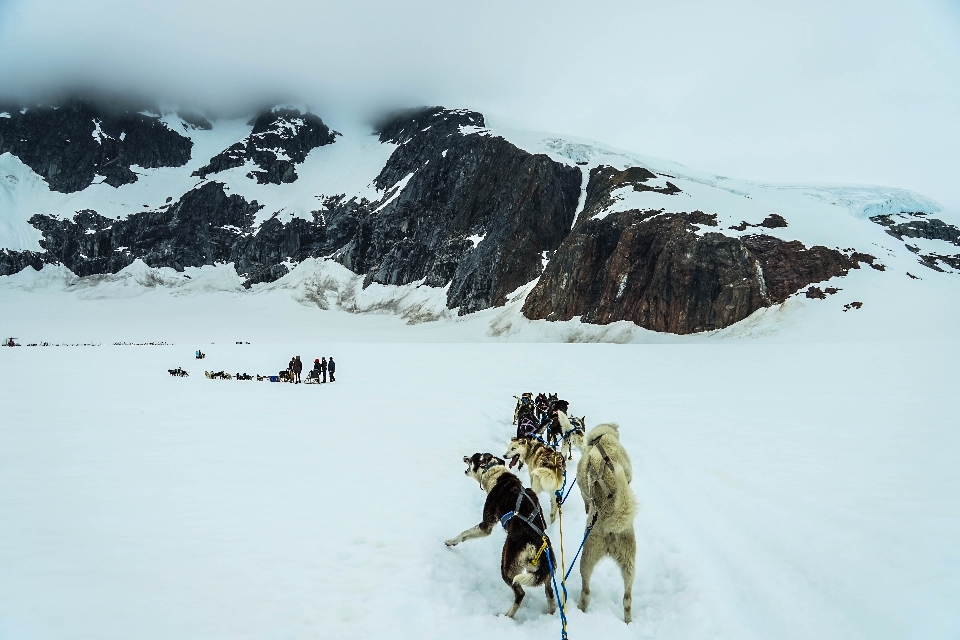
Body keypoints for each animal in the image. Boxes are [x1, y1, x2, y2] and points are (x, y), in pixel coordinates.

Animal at [446, 452, 560, 616]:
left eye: (473, 457)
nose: (465, 456)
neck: (495, 473)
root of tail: (536, 542)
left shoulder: (486, 525)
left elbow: (464, 533)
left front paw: (451, 542)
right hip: (540, 572)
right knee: (549, 592)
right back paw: (551, 613)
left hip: (507, 568)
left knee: (520, 593)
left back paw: (507, 616)